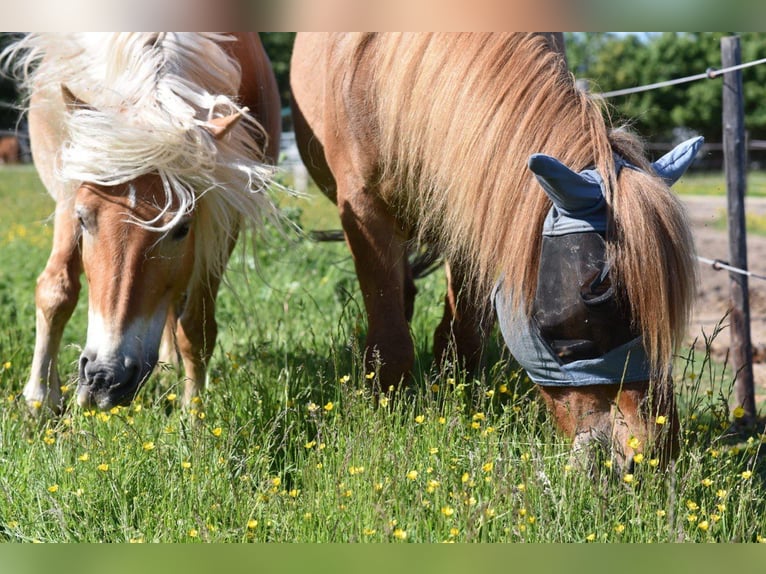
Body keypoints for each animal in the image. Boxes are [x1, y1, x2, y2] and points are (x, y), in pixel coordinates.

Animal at [3, 32, 282, 414]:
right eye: (83, 219)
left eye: (182, 229)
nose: (106, 377)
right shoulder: (69, 189)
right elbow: (55, 290)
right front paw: (40, 398)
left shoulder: (224, 214)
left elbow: (197, 325)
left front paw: (193, 415)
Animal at [292, 33, 704, 470]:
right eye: (594, 303)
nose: (658, 453)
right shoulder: (363, 208)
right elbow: (392, 346)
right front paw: (389, 417)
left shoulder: (473, 205)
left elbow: (463, 338)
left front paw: (459, 405)